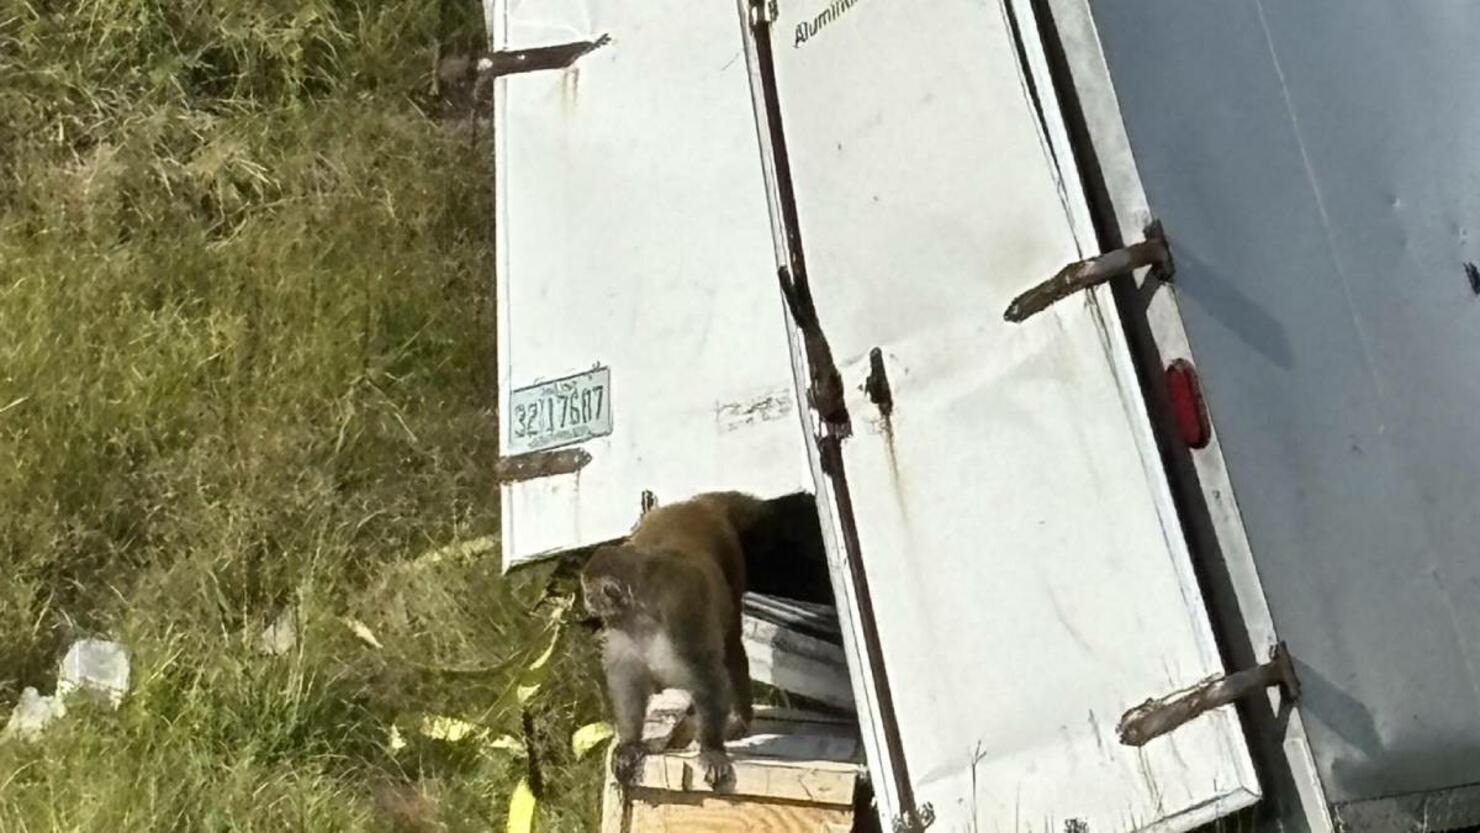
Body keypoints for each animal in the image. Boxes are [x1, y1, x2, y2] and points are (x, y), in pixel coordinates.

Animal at [581, 491, 767, 789]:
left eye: (589, 593)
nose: (586, 603)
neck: (642, 612)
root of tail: (695, 504)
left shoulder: (681, 613)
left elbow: (707, 675)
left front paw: (711, 749)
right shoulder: (621, 628)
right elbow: (627, 680)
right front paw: (630, 743)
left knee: (731, 646)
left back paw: (740, 718)